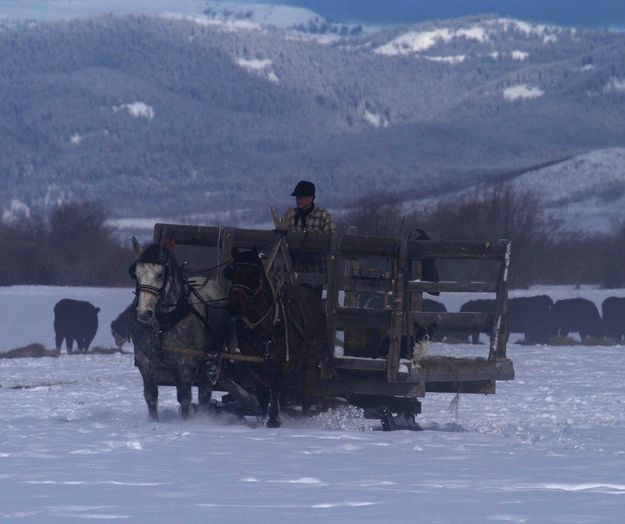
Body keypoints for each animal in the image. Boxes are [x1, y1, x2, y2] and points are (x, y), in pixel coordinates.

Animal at [129, 239, 229, 420]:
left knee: (204, 393)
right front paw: (154, 421)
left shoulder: (185, 365)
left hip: (209, 361)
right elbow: (151, 396)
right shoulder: (145, 362)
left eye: (160, 274)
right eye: (136, 273)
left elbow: (184, 399)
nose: (144, 313)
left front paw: (187, 421)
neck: (162, 326)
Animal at [228, 248, 326, 428]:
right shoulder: (252, 360)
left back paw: (303, 416)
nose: (235, 306)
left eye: (254, 274)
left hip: (311, 356)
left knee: (306, 387)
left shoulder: (283, 360)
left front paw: (274, 418)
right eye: (232, 273)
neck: (264, 325)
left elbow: (275, 386)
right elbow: (262, 388)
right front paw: (264, 416)